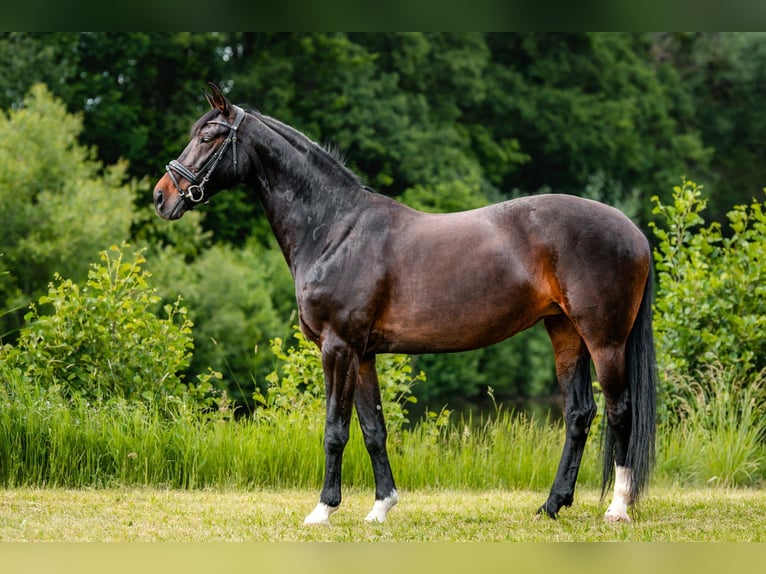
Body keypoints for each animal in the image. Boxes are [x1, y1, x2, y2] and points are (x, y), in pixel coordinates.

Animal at [154, 83, 657, 525]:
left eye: (209, 136)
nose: (163, 195)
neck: (335, 230)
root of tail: (631, 230)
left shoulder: (337, 348)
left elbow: (335, 430)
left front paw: (323, 510)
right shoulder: (363, 355)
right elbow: (374, 430)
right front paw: (381, 507)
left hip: (605, 341)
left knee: (620, 413)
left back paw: (617, 508)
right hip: (565, 332)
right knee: (579, 414)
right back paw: (552, 505)